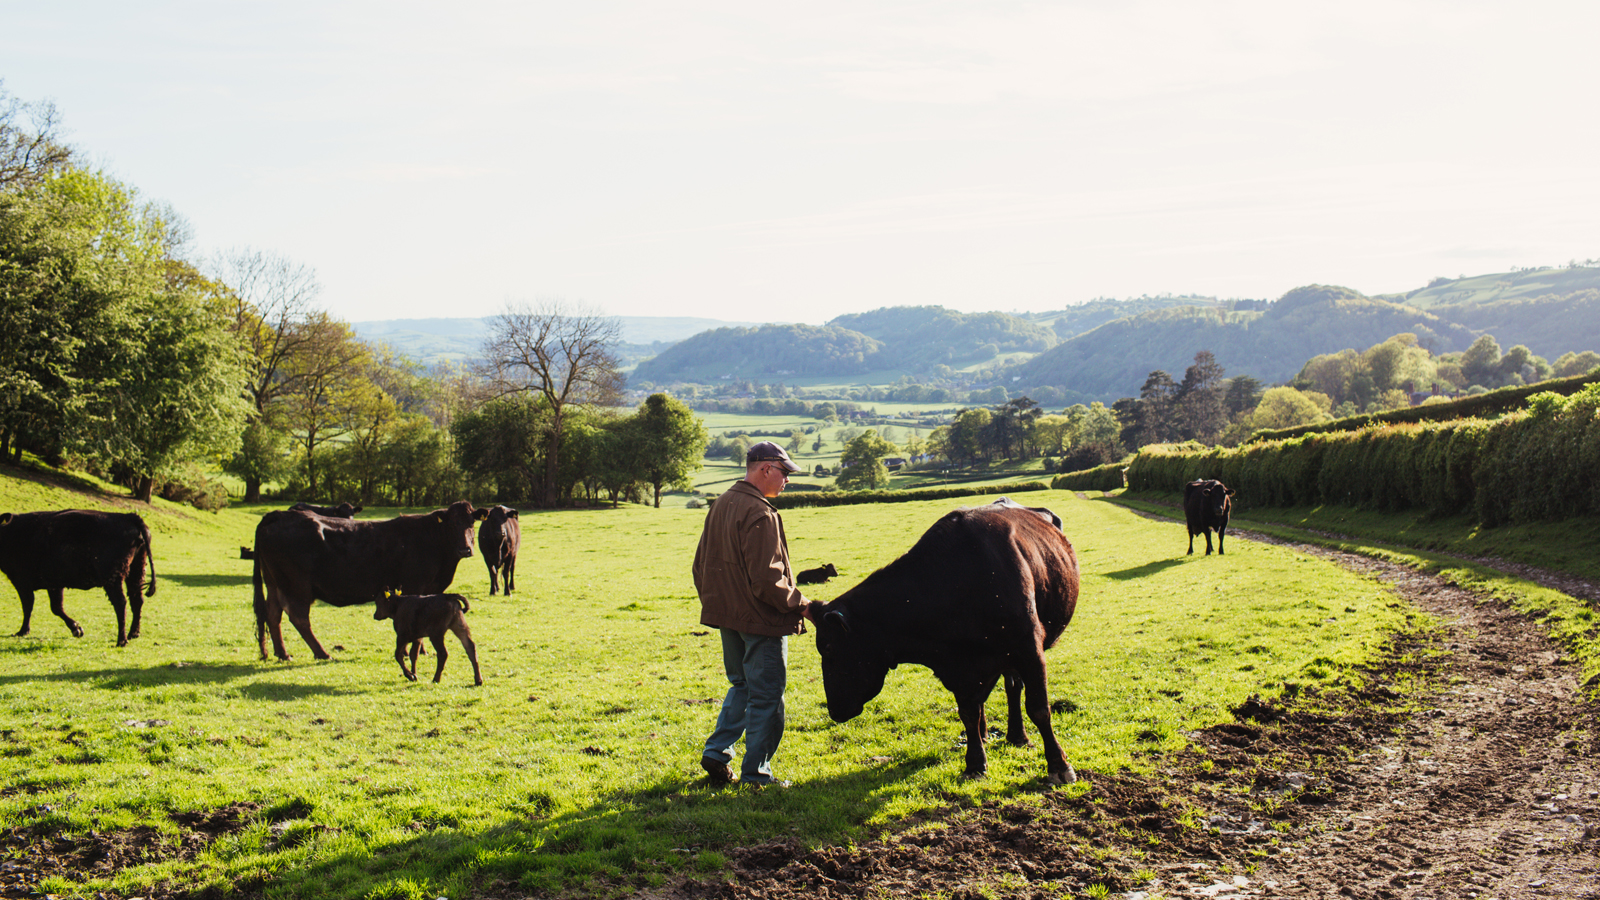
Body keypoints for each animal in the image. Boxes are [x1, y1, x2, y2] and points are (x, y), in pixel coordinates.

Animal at [0, 506, 156, 643]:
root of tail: (128, 516)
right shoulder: (54, 583)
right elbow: (56, 607)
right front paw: (76, 629)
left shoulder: (22, 583)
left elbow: (29, 606)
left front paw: (22, 631)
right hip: (136, 570)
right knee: (137, 599)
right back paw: (133, 633)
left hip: (112, 578)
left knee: (121, 603)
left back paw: (121, 640)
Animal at [248, 496, 486, 659]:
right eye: (452, 524)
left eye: (471, 523)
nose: (465, 549)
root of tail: (278, 514)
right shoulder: (414, 585)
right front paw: (415, 650)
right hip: (297, 587)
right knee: (298, 618)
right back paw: (322, 653)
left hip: (274, 583)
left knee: (273, 614)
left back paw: (282, 653)